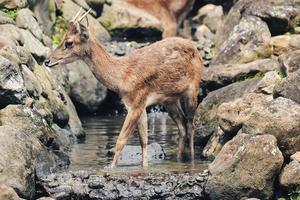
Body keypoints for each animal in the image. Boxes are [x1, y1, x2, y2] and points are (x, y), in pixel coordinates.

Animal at [44, 9, 203, 169]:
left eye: (69, 42)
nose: (47, 61)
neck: (122, 77)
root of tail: (196, 50)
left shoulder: (138, 101)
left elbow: (121, 140)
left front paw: (110, 167)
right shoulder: (136, 104)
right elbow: (143, 140)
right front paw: (143, 166)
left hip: (193, 89)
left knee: (191, 125)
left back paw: (192, 159)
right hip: (169, 99)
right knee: (182, 125)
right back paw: (179, 158)